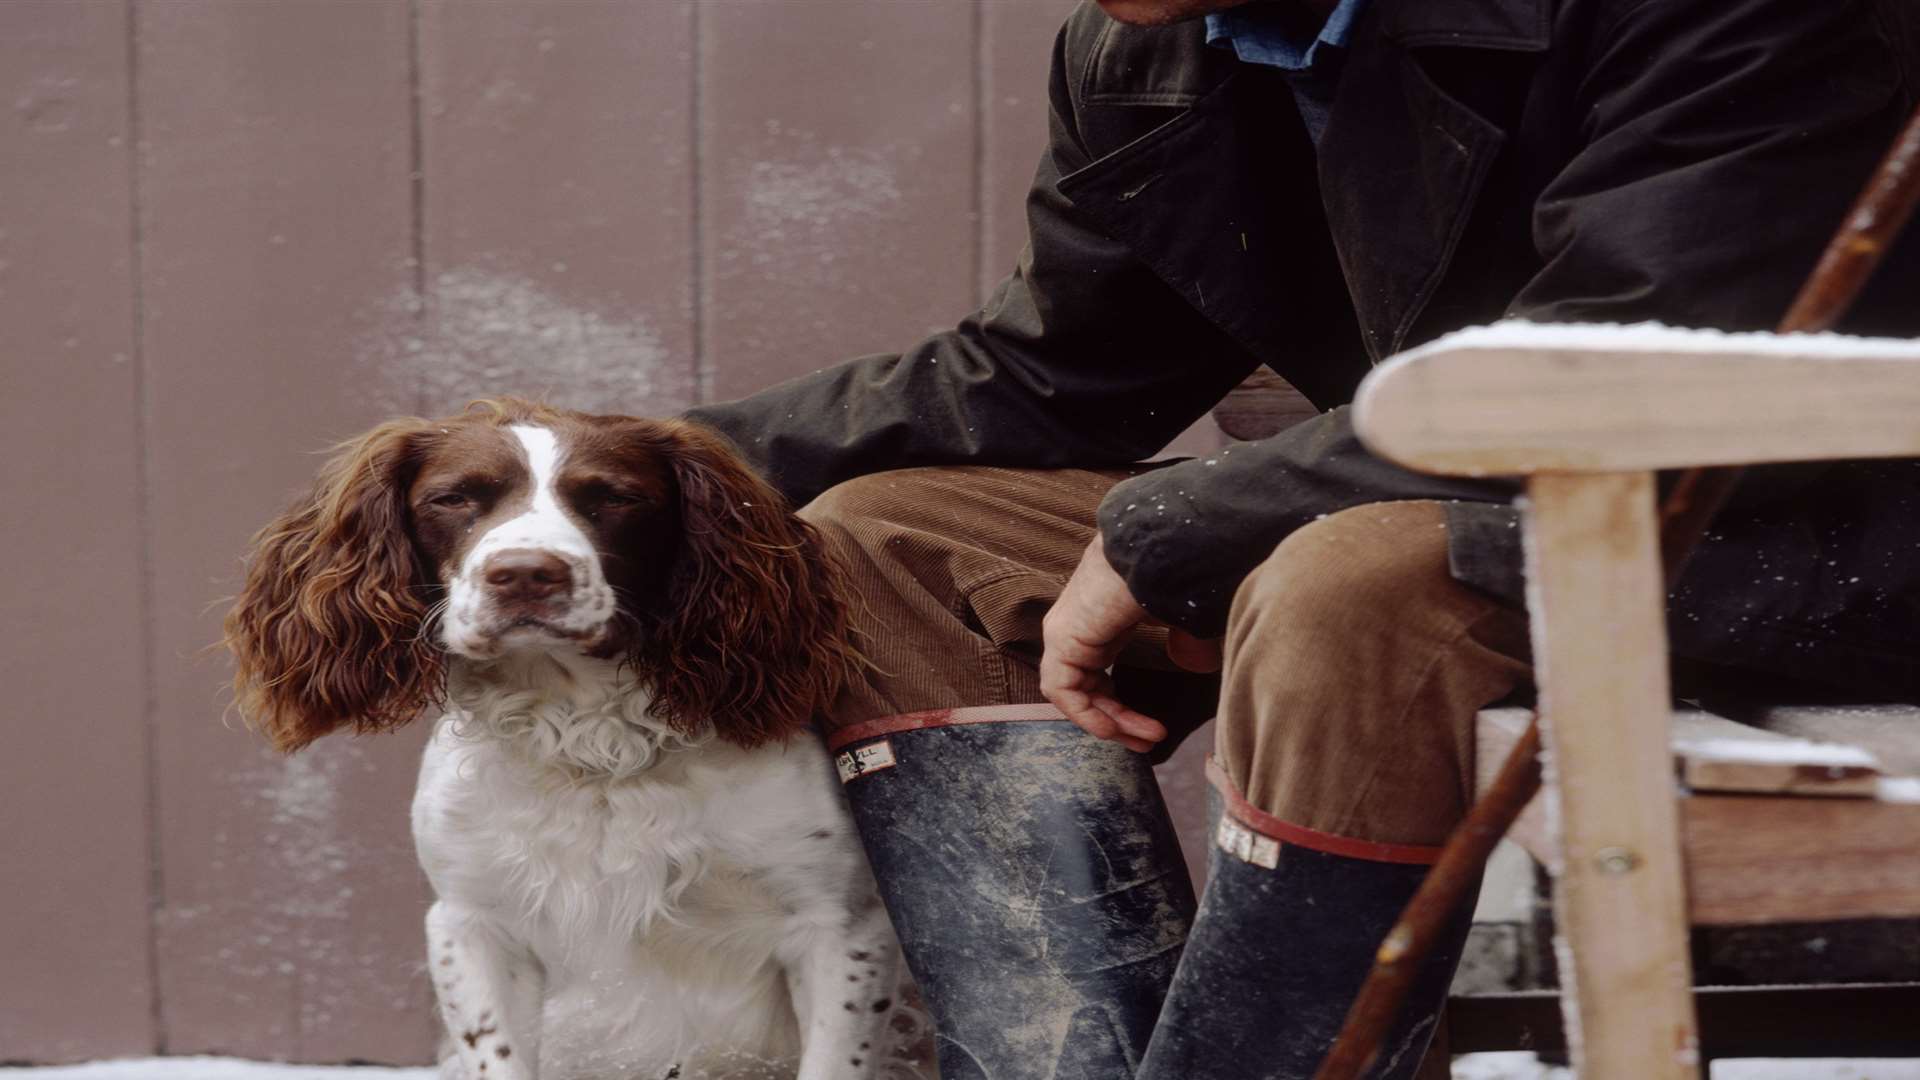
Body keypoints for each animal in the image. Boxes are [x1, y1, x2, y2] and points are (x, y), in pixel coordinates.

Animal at [224, 399, 929, 1076]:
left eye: (614, 498)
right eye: (454, 498)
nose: (525, 575)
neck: (591, 742)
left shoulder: (838, 925)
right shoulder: (471, 923)